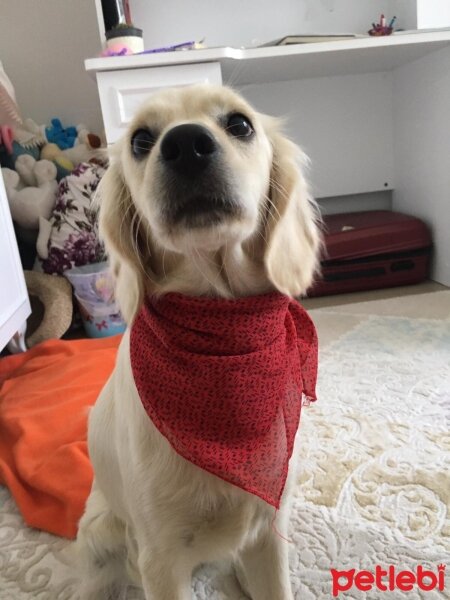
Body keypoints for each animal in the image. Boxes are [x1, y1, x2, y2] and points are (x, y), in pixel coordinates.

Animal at [75, 85, 320, 600]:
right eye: (141, 139)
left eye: (240, 124)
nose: (186, 145)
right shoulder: (160, 558)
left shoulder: (269, 529)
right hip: (100, 535)